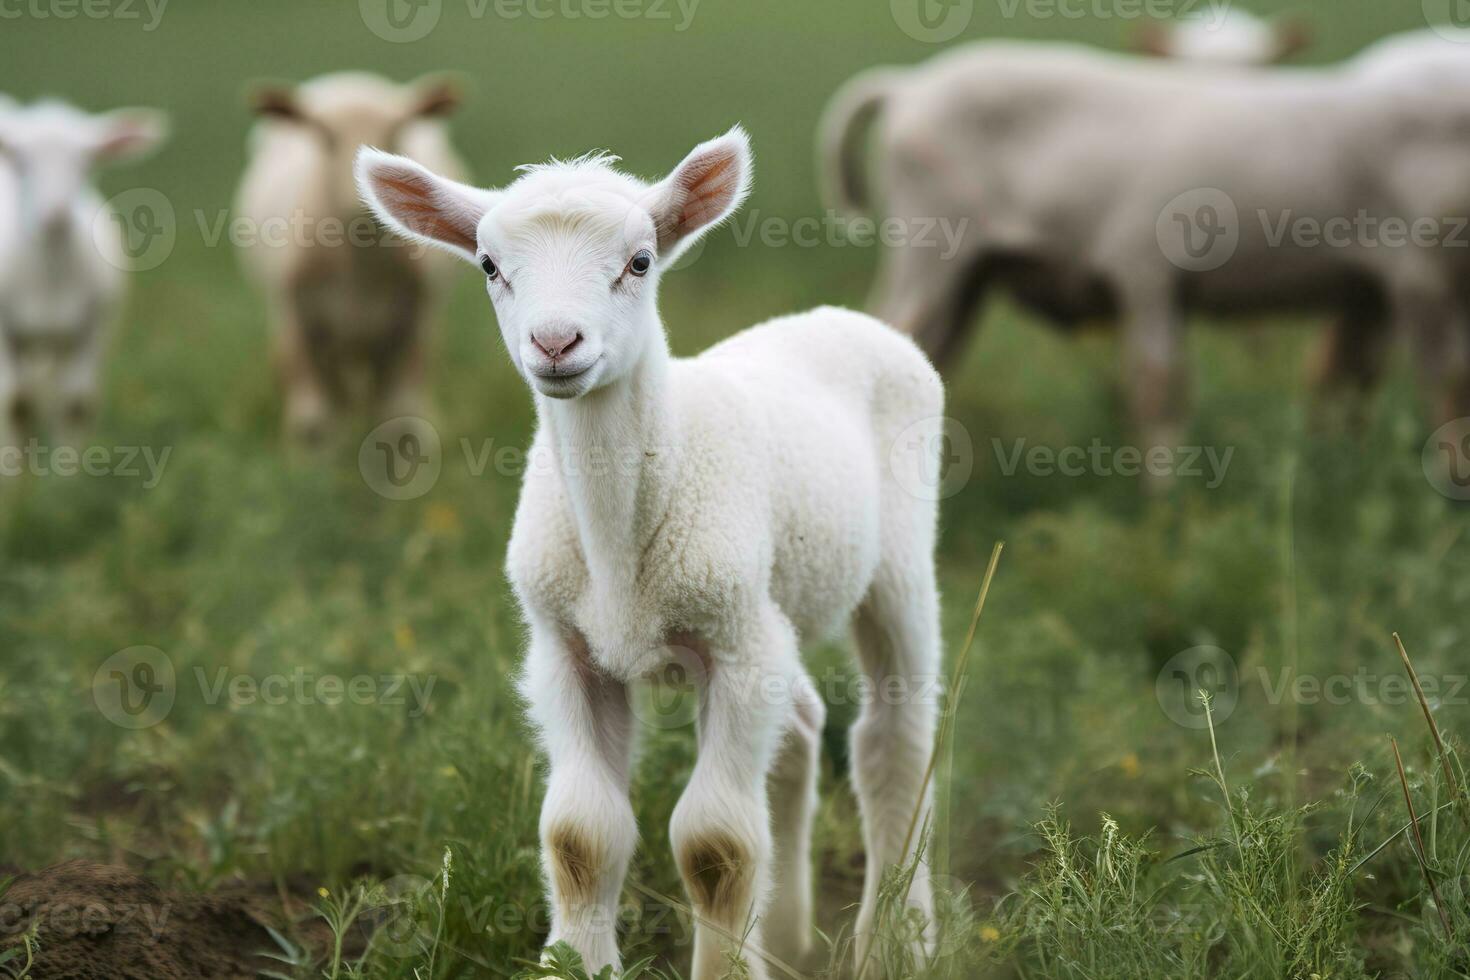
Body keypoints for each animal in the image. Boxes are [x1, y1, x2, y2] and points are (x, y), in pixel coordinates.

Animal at [0, 95, 167, 449]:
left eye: (86, 162)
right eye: (21, 161)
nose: (56, 214)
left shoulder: (93, 327)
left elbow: (75, 405)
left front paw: (68, 466)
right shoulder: (3, 328)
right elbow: (15, 404)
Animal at [235, 70, 467, 446]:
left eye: (395, 132)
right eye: (325, 138)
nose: (366, 202)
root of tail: (351, 79)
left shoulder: (414, 323)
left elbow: (402, 417)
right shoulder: (296, 320)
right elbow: (312, 423)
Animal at [361, 130, 946, 980]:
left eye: (639, 262)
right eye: (489, 266)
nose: (555, 343)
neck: (618, 552)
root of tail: (840, 318)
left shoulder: (734, 647)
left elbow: (715, 844)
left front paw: (726, 967)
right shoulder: (566, 649)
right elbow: (579, 833)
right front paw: (575, 962)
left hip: (895, 565)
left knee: (894, 739)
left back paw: (902, 938)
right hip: (772, 608)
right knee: (804, 723)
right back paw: (788, 940)